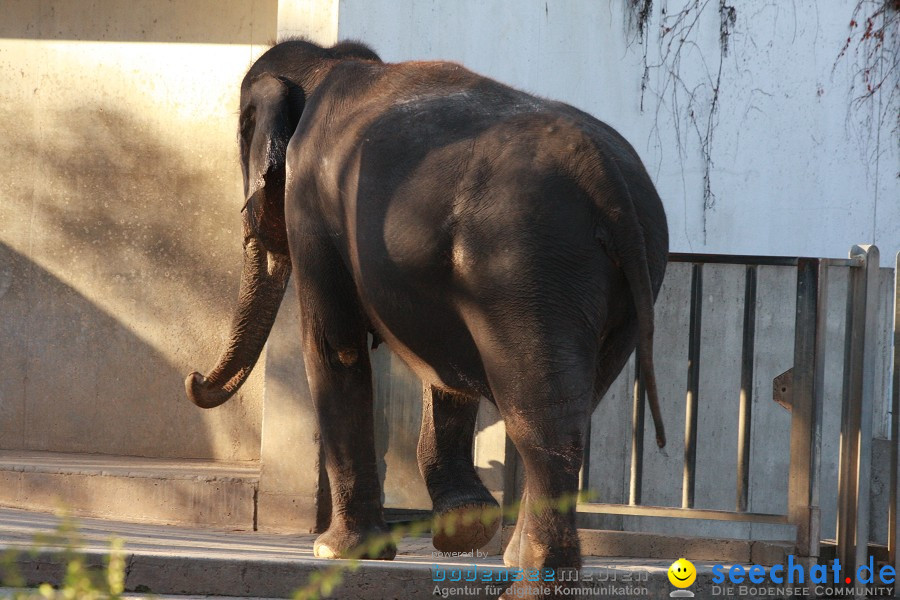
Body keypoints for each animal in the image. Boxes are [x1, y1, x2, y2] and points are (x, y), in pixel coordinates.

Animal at [185, 36, 668, 580]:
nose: (192, 377)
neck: (329, 61)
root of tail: (607, 179)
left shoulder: (309, 205)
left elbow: (335, 346)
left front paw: (337, 551)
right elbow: (441, 370)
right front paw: (464, 528)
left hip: (526, 262)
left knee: (541, 411)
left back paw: (533, 568)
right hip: (630, 276)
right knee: (578, 404)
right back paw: (517, 556)